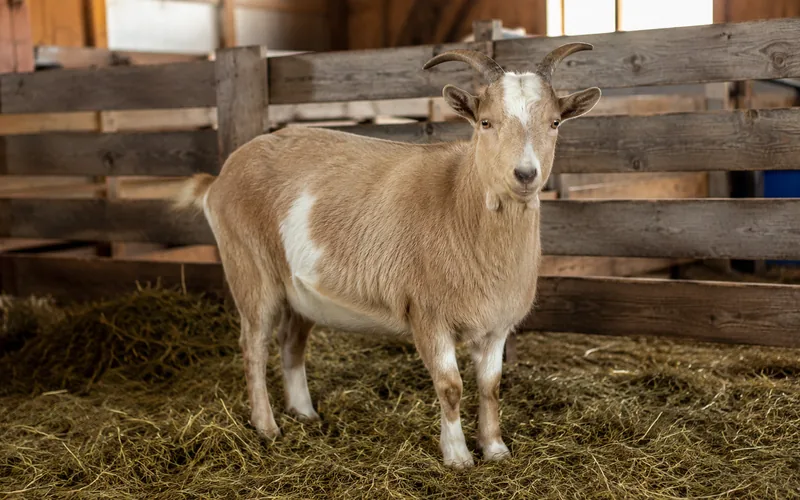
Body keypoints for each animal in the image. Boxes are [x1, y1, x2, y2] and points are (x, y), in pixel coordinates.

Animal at [174, 43, 601, 468]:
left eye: (555, 123)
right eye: (485, 122)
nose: (525, 174)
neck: (458, 203)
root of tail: (219, 178)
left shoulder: (496, 324)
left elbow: (491, 386)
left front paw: (495, 448)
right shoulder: (428, 314)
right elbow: (450, 386)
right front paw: (457, 455)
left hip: (299, 290)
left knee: (290, 342)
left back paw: (305, 413)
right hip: (249, 267)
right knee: (254, 345)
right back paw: (266, 426)